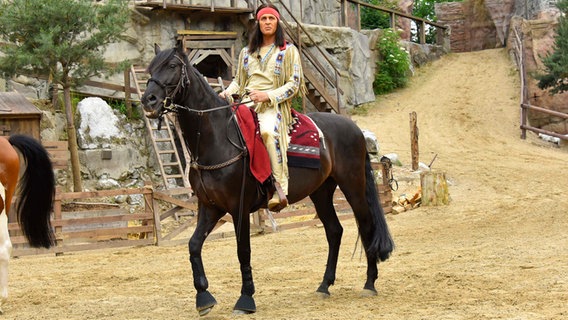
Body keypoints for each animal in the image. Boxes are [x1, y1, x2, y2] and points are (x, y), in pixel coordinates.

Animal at [140, 43, 392, 316]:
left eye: (172, 66)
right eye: (150, 68)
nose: (148, 100)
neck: (216, 140)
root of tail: (355, 128)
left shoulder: (238, 207)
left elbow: (243, 251)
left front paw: (246, 299)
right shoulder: (209, 207)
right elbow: (193, 245)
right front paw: (203, 297)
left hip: (353, 186)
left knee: (366, 226)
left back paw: (369, 283)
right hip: (321, 192)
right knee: (334, 231)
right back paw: (324, 285)